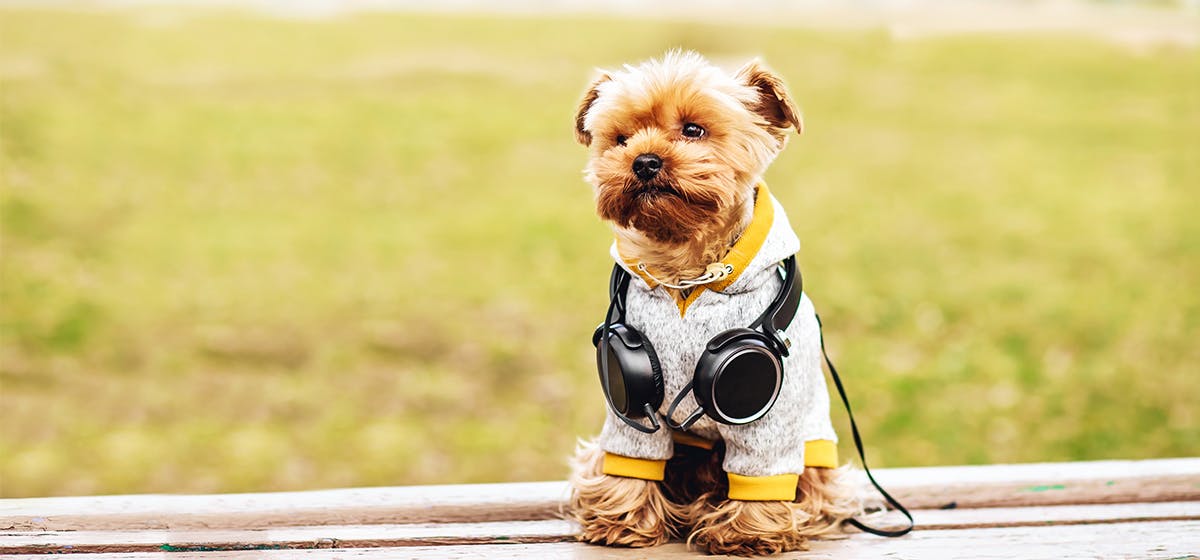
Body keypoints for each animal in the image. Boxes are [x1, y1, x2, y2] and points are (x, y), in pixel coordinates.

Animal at [571, 51, 864, 556]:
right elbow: (630, 453)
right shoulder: (628, 401)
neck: (686, 273)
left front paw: (747, 532)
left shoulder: (770, 418)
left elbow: (762, 469)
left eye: (693, 129)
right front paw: (623, 518)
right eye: (621, 138)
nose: (643, 161)